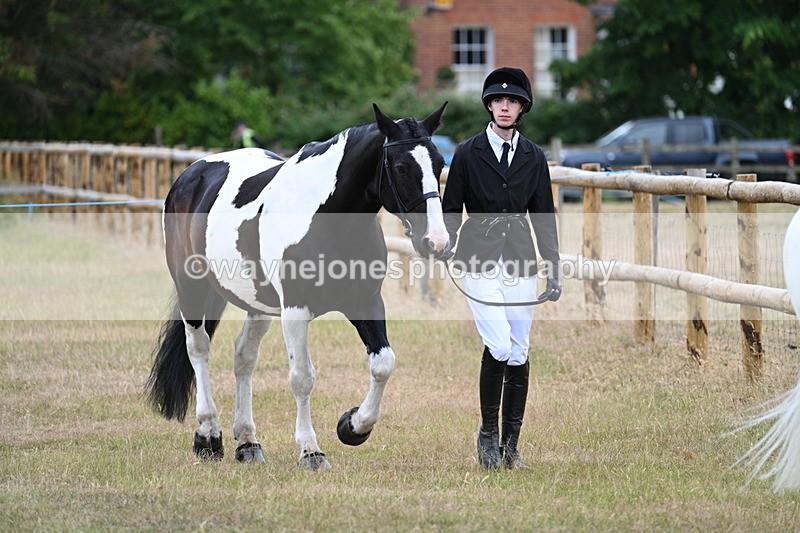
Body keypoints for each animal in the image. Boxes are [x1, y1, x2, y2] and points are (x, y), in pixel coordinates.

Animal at [146, 103, 450, 470]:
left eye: (440, 164)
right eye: (403, 167)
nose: (436, 241)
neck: (329, 218)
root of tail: (192, 174)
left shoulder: (366, 303)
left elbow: (383, 364)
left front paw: (352, 426)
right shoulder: (295, 311)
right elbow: (302, 377)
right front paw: (311, 451)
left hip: (257, 304)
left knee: (244, 357)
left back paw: (248, 442)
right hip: (192, 288)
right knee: (199, 350)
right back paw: (208, 436)